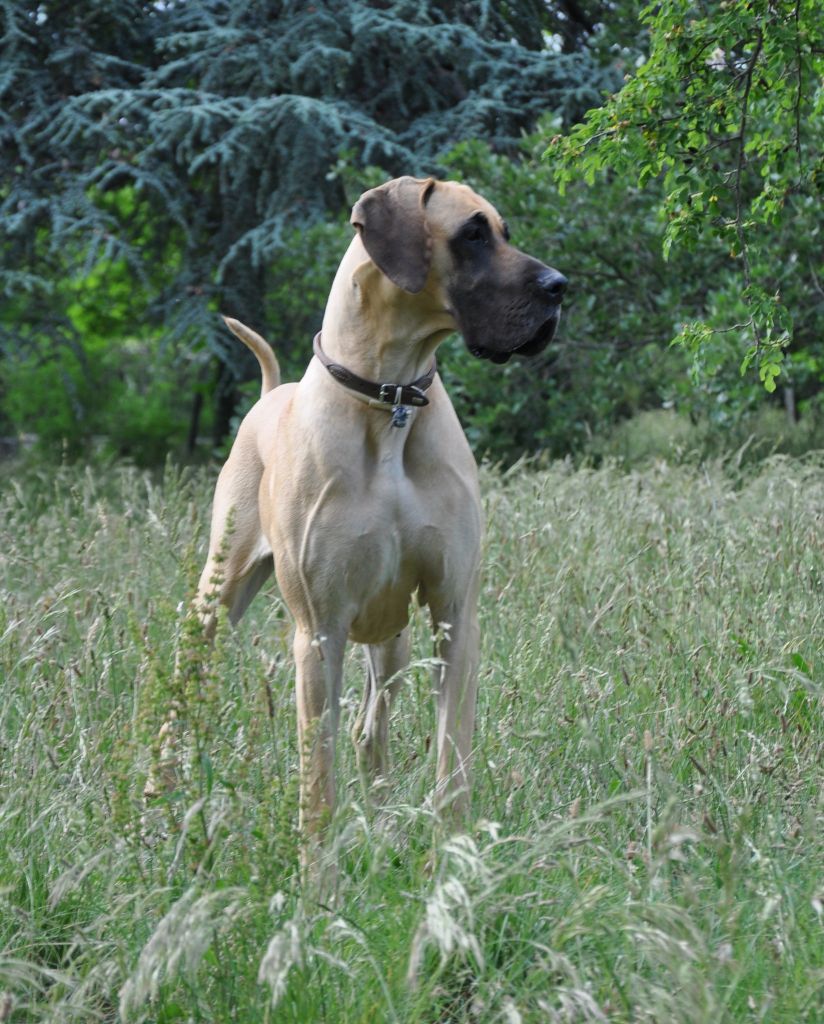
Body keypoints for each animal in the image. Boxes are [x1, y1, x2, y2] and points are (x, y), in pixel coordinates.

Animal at [195, 176, 565, 856]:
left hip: (392, 641)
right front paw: (318, 873)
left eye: (504, 231)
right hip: (215, 601)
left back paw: (383, 825)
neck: (390, 399)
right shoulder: (319, 633)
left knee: (371, 729)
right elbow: (317, 779)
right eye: (473, 234)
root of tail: (269, 397)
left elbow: (451, 761)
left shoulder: (453, 615)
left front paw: (450, 857)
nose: (560, 286)